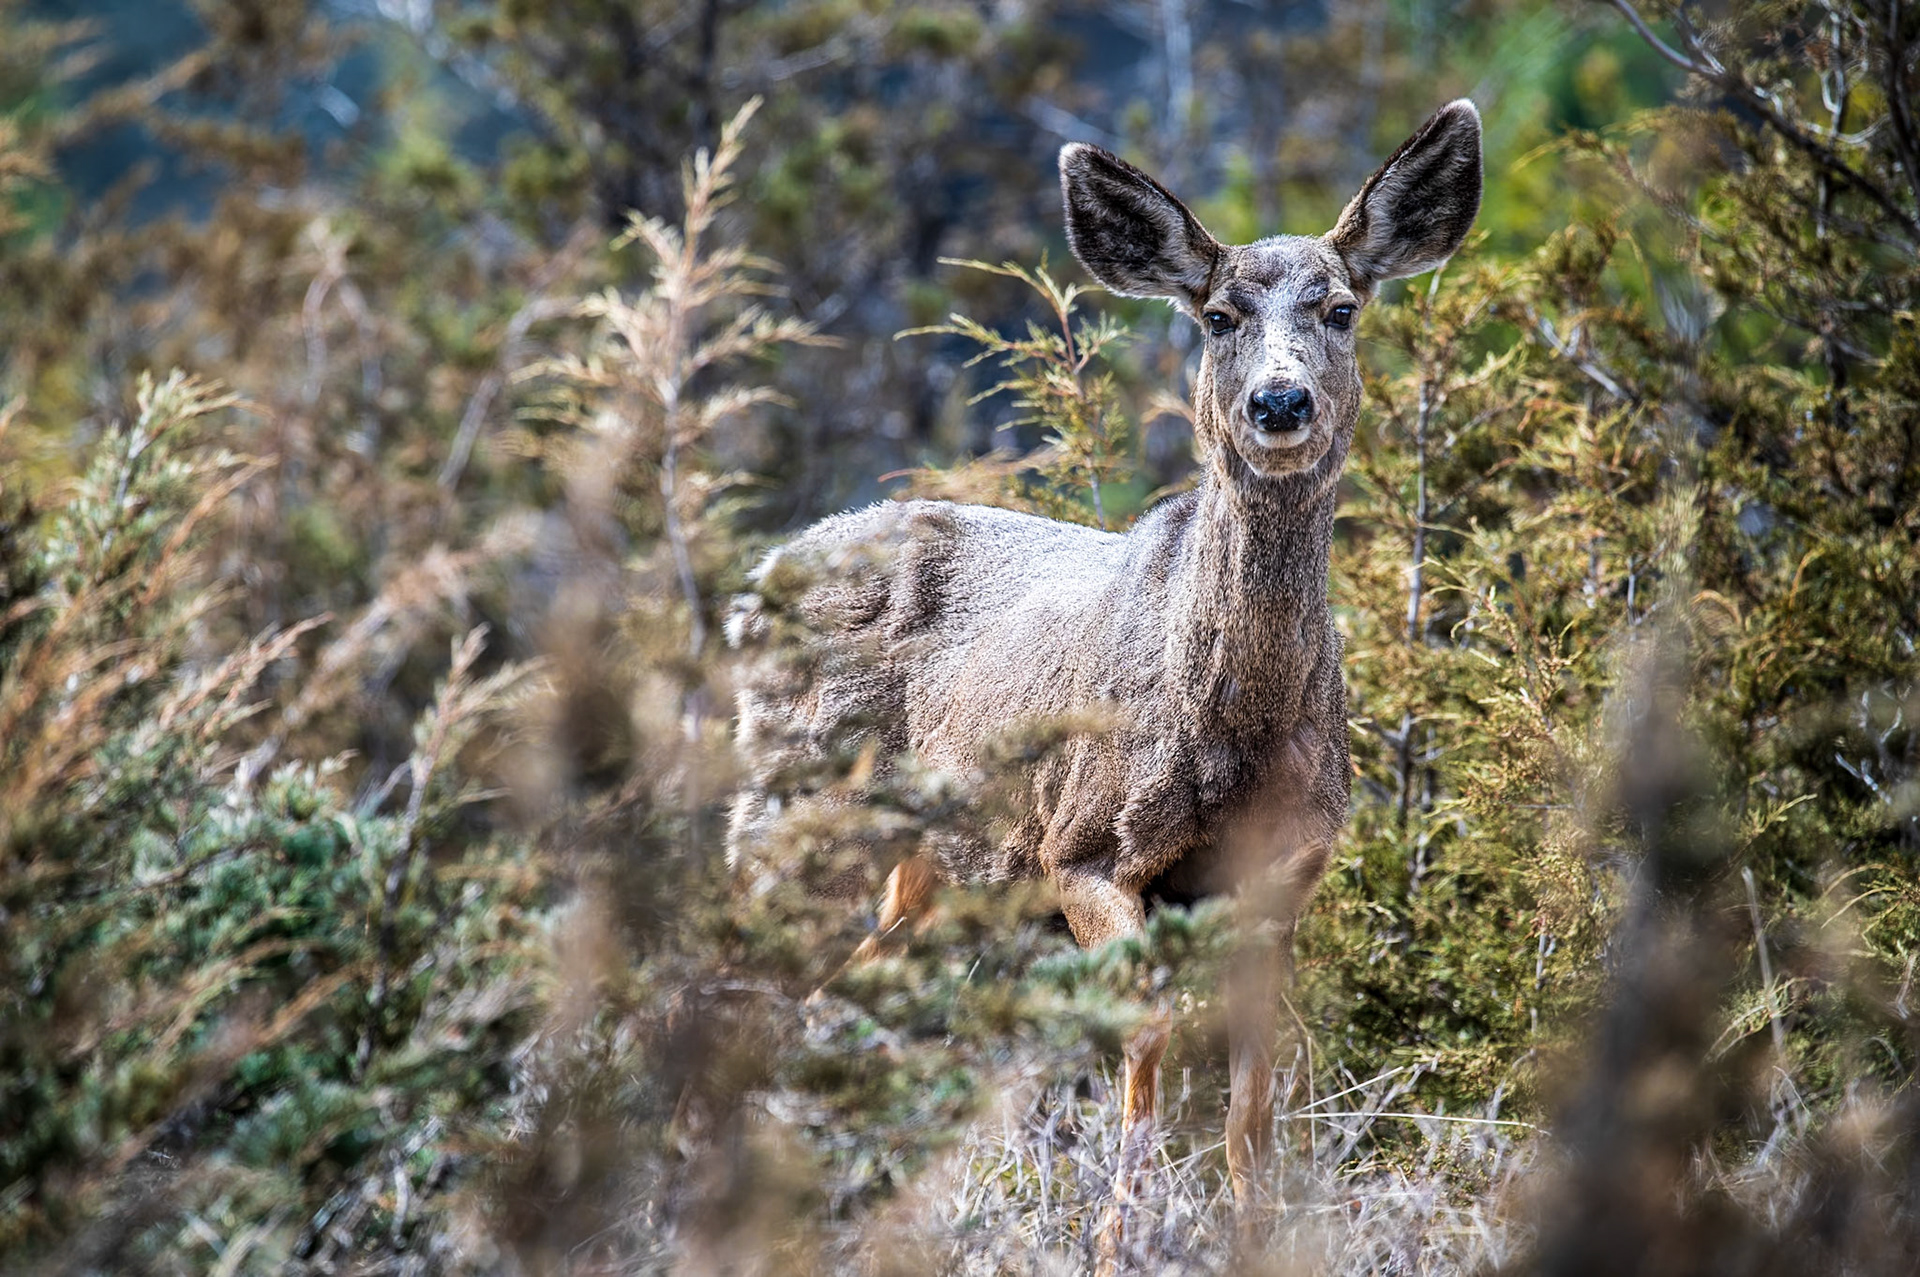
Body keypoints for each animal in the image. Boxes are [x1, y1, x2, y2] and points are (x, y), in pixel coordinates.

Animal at [727, 100, 1482, 1251]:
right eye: (1217, 315)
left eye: (1342, 307)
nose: (1279, 402)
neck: (1232, 727)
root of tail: (762, 574)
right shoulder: (1081, 847)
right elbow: (1145, 1040)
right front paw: (1121, 1235)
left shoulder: (1283, 872)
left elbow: (1253, 1094)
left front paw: (1253, 1235)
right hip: (792, 802)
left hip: (935, 874)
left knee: (841, 997)